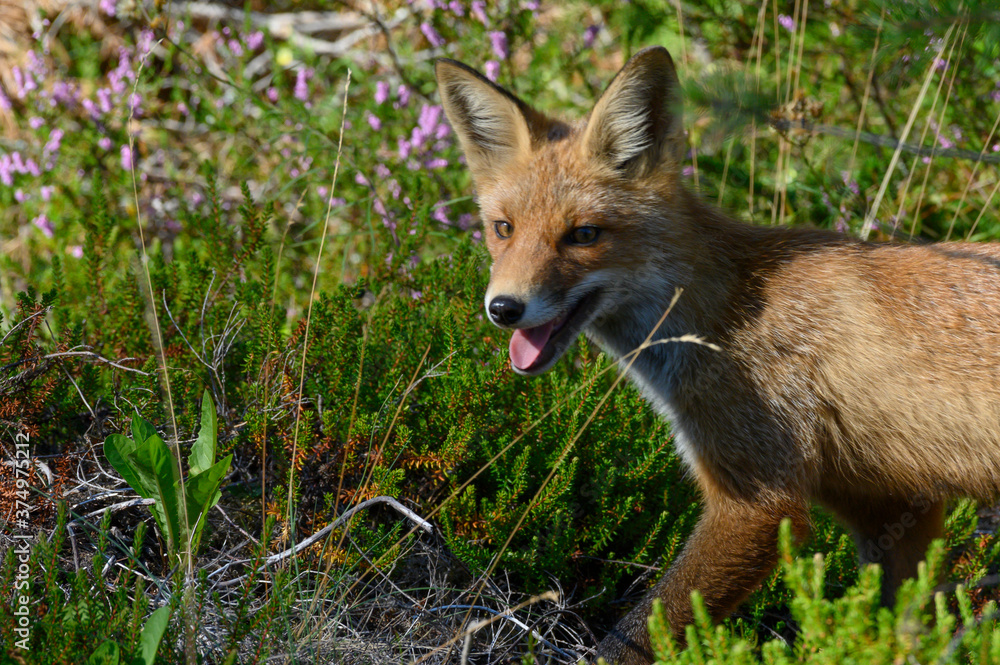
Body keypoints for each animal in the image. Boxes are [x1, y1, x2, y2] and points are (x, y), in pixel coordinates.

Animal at [434, 46, 1000, 664]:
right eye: (502, 229)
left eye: (583, 235)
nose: (503, 308)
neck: (729, 311)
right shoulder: (888, 502)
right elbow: (910, 624)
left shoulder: (757, 500)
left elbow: (640, 631)